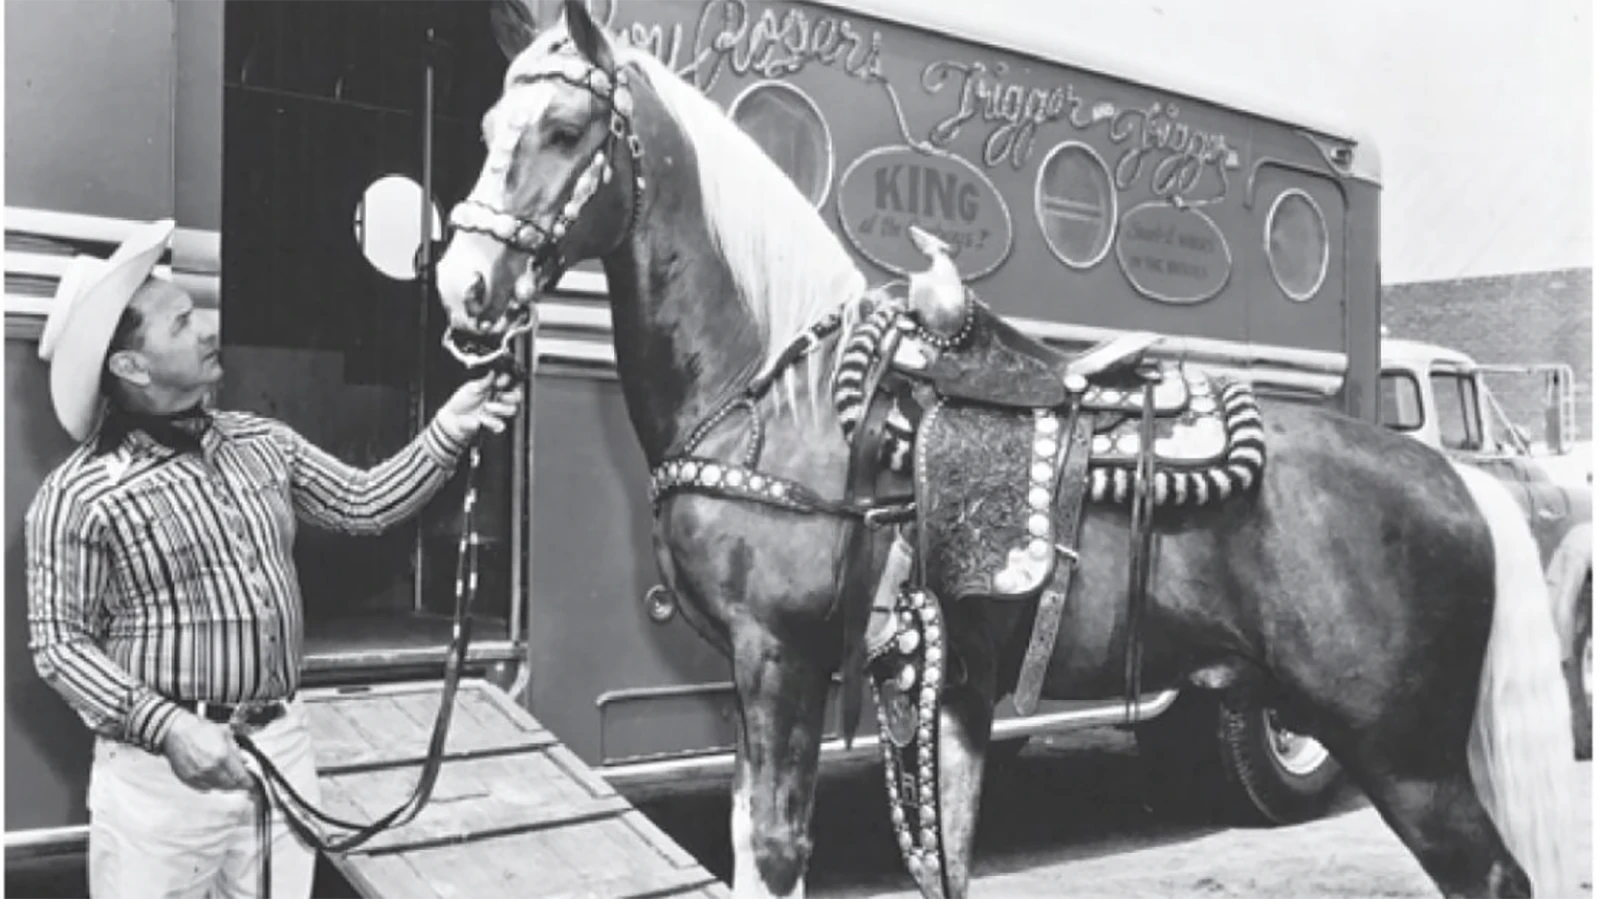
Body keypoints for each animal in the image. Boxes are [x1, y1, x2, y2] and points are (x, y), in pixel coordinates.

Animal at [432, 3, 1580, 897]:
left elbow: (777, 847)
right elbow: (763, 842)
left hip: (1402, 749)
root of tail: (1452, 473)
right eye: (486, 122)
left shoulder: (779, 653)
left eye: (566, 125)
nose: (464, 285)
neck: (778, 396)